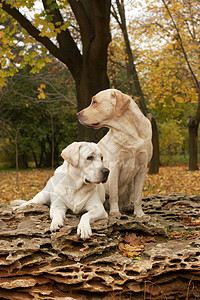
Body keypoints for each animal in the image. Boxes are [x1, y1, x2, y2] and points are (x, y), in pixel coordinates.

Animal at [77, 89, 152, 218]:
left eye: (94, 102)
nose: (77, 114)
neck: (129, 131)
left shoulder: (142, 168)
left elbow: (138, 196)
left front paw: (140, 214)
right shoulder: (114, 166)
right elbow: (114, 194)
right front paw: (115, 212)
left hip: (131, 183)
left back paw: (127, 206)